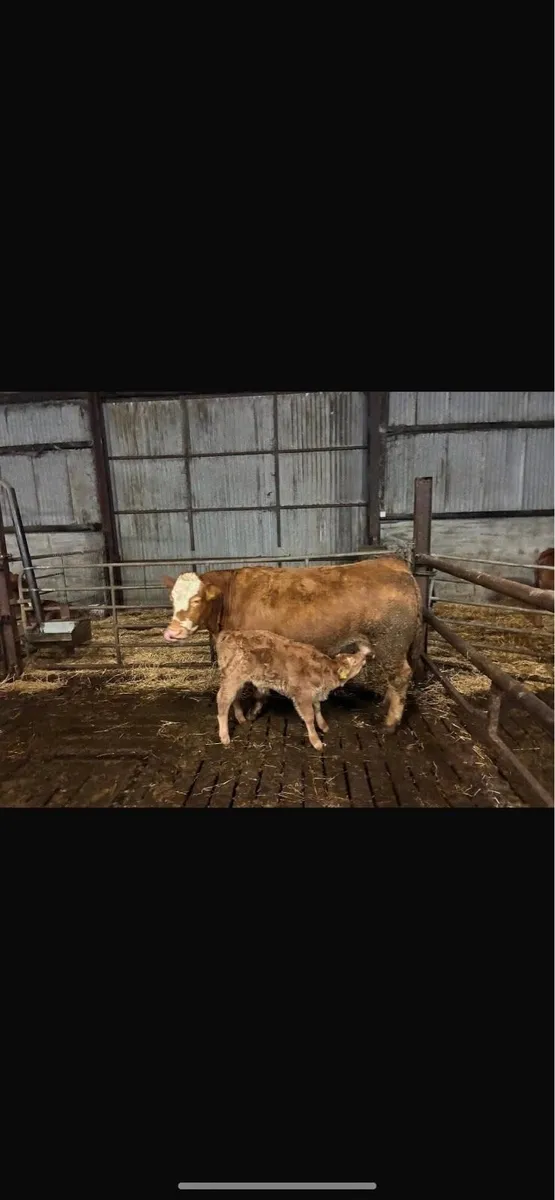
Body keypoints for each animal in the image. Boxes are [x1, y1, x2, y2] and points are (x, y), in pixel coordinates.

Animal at [162, 557, 422, 734]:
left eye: (197, 599)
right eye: (172, 599)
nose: (172, 633)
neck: (232, 598)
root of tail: (393, 563)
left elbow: (260, 686)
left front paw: (254, 712)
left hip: (390, 642)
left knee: (400, 676)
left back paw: (390, 723)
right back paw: (385, 704)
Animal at [215, 630, 371, 751]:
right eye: (354, 661)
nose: (364, 657)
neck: (324, 671)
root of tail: (229, 634)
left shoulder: (314, 694)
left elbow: (318, 709)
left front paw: (323, 726)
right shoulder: (302, 695)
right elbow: (309, 717)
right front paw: (316, 742)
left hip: (238, 680)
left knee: (234, 698)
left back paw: (241, 718)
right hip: (233, 677)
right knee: (223, 700)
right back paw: (225, 737)